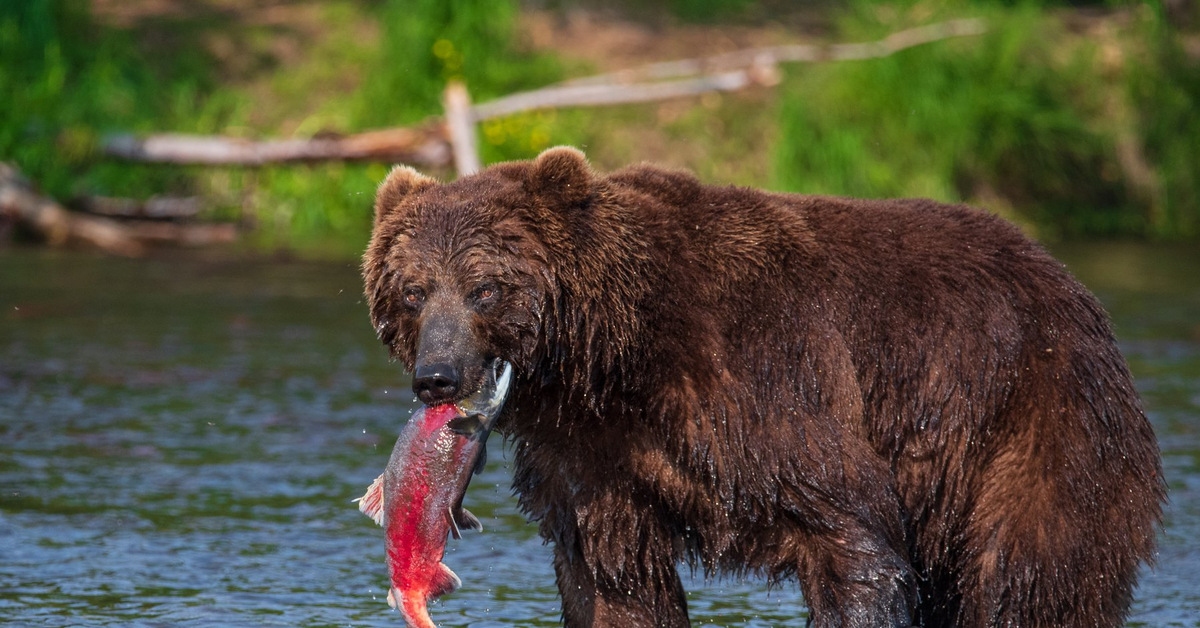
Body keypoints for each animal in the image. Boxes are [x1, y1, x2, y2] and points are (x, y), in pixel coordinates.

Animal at [362, 146, 1161, 628]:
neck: (616, 363)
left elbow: (850, 537)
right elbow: (613, 579)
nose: (437, 376)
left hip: (1030, 417)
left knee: (1030, 573)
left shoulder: (768, 382)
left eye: (484, 288)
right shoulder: (595, 464)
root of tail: (1069, 284)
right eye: (412, 291)